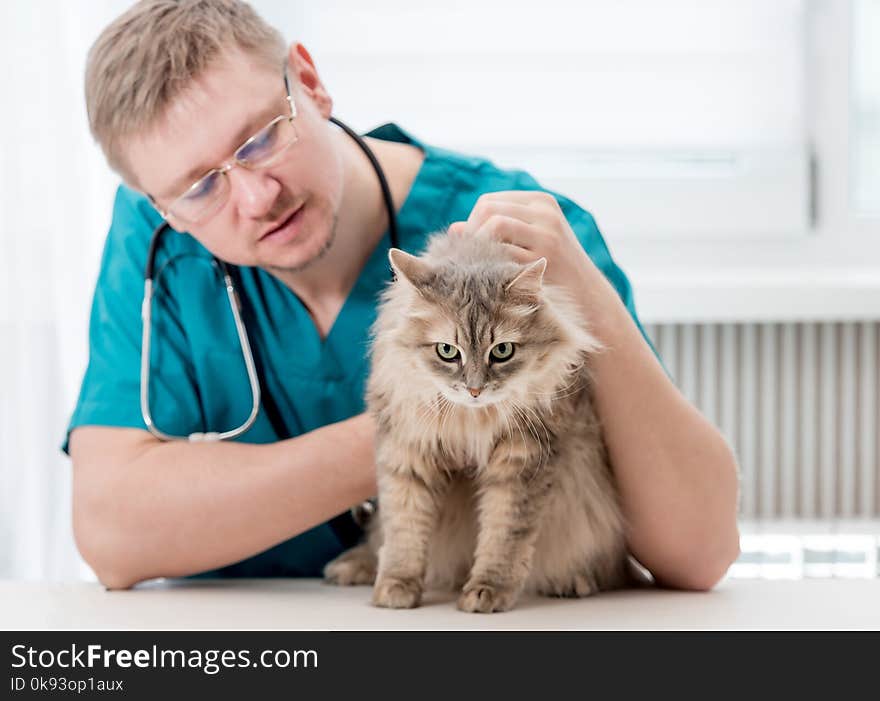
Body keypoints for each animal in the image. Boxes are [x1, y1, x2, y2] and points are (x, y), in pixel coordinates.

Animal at [324, 231, 648, 612]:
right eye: (447, 351)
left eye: (502, 351)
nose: (475, 389)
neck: (472, 417)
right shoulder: (407, 453)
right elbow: (404, 528)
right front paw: (396, 587)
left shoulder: (522, 462)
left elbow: (504, 535)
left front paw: (487, 591)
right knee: (377, 539)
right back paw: (351, 567)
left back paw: (574, 582)